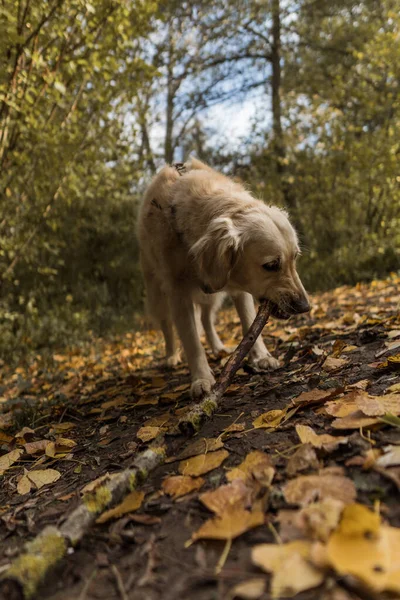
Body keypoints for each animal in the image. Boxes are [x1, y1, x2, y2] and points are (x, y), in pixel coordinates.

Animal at [138, 158, 310, 398]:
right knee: (166, 324)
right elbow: (192, 341)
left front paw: (261, 356)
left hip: (211, 296)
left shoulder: (238, 289)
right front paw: (201, 379)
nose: (305, 307)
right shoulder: (177, 292)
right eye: (271, 266)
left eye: (295, 258)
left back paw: (218, 347)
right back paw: (171, 356)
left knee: (206, 319)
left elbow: (247, 321)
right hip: (156, 292)